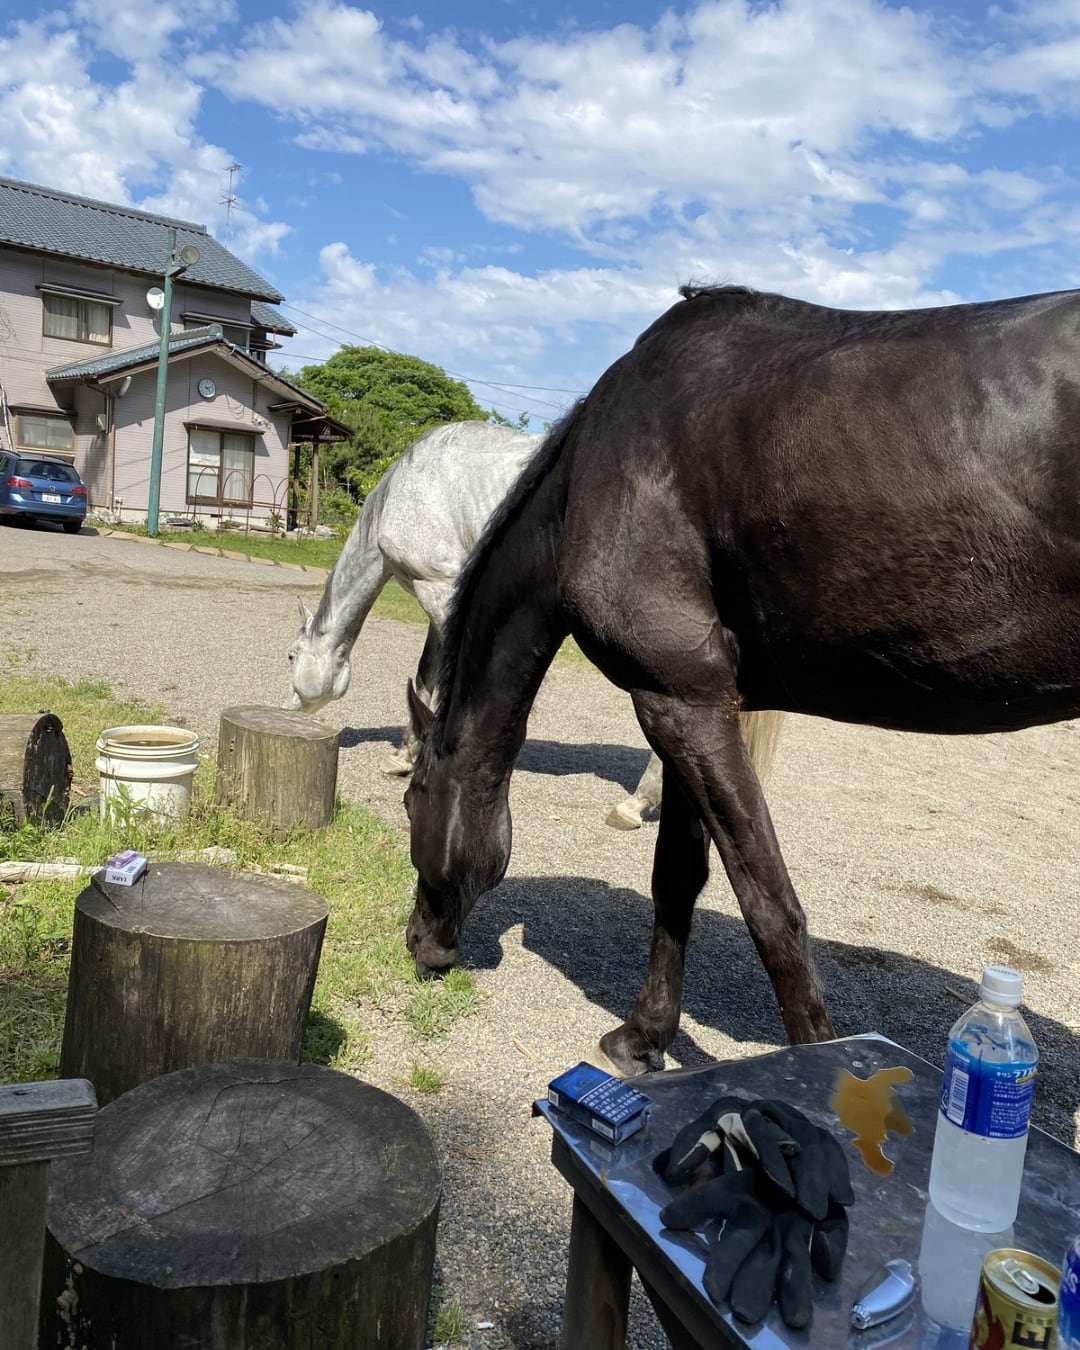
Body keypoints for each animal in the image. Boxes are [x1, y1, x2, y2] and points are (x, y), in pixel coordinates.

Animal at [284, 420, 780, 825]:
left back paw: (635, 804)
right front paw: (405, 754)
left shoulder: (439, 591)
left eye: (290, 655)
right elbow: (424, 677)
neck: (406, 488)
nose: (286, 710)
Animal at [403, 282, 1080, 1078]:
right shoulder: (682, 706)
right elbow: (676, 878)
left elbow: (768, 905)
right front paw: (642, 1038)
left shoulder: (683, 703)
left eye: (411, 802)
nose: (418, 944)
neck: (593, 475)